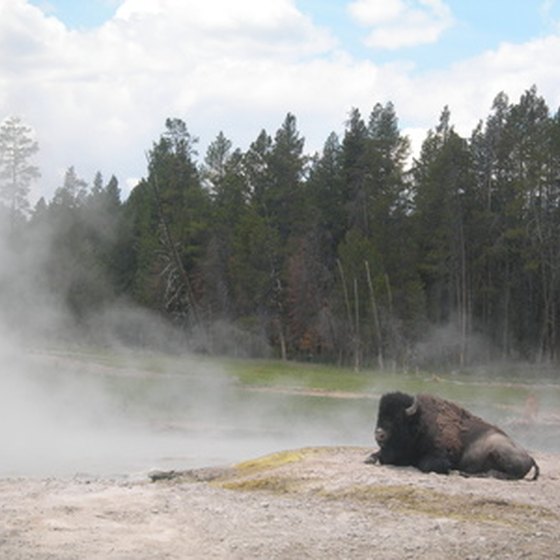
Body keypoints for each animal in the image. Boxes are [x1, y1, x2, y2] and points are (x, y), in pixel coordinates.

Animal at [366, 392, 540, 480]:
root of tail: (529, 457)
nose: (379, 434)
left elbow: (426, 464)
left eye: (396, 418)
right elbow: (377, 455)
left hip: (499, 450)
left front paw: (449, 470)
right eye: (379, 415)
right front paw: (370, 458)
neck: (419, 423)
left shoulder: (440, 455)